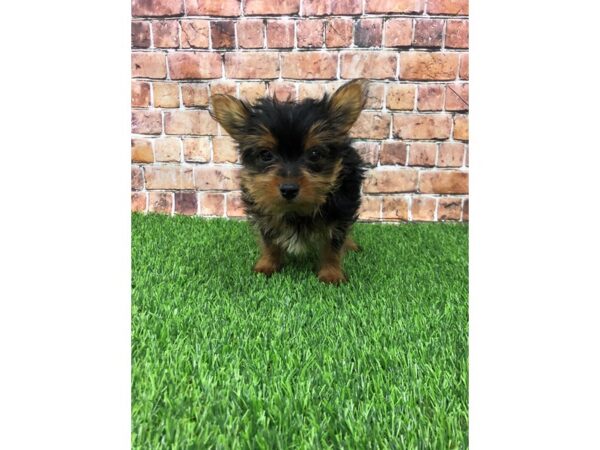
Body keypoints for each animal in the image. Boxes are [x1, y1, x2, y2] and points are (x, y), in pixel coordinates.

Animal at [211, 79, 370, 284]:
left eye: (315, 154)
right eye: (265, 155)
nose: (288, 189)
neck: (295, 210)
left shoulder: (340, 210)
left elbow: (333, 244)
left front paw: (331, 274)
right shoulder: (264, 210)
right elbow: (269, 241)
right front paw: (267, 265)